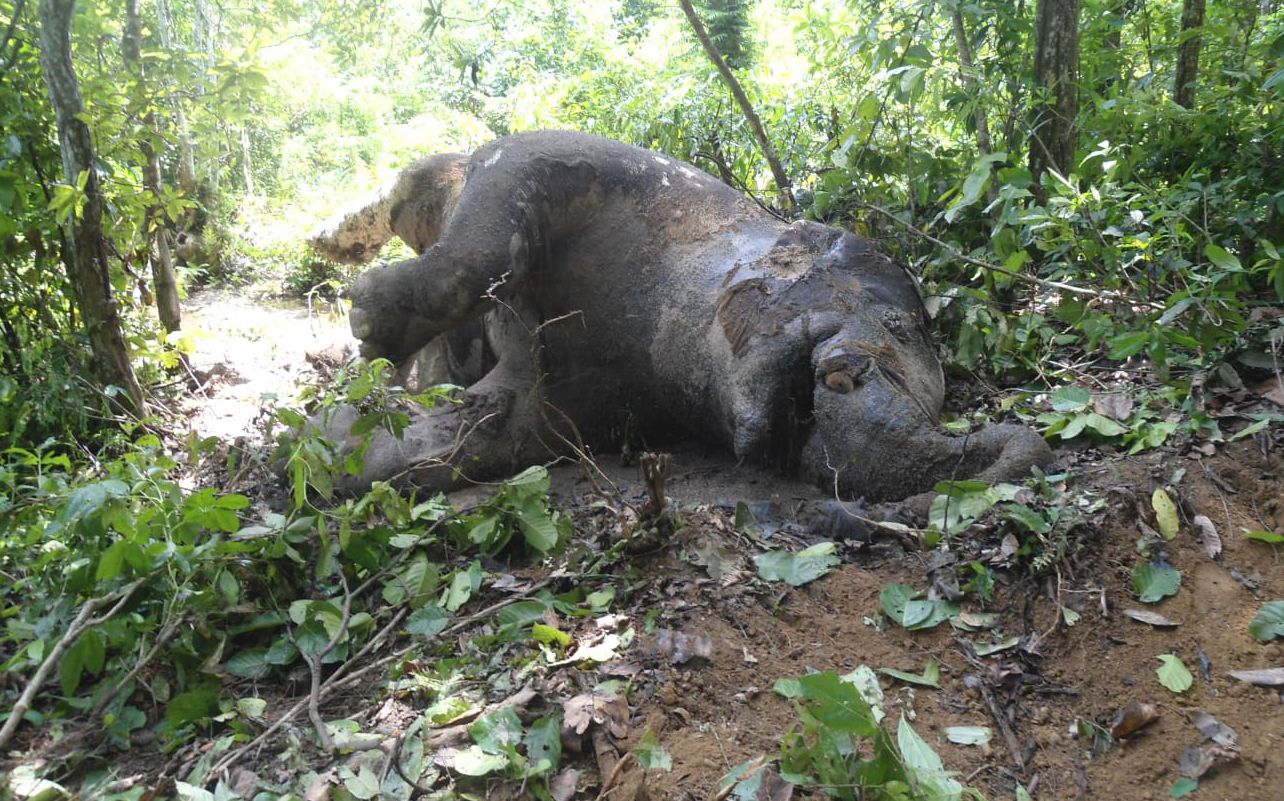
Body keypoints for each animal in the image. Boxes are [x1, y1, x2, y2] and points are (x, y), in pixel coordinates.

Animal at [308, 130, 1052, 503]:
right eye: (898, 326)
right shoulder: (556, 156)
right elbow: (482, 242)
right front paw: (367, 318)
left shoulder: (563, 410)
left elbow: (438, 448)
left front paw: (329, 441)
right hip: (439, 179)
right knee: (410, 190)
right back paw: (334, 251)